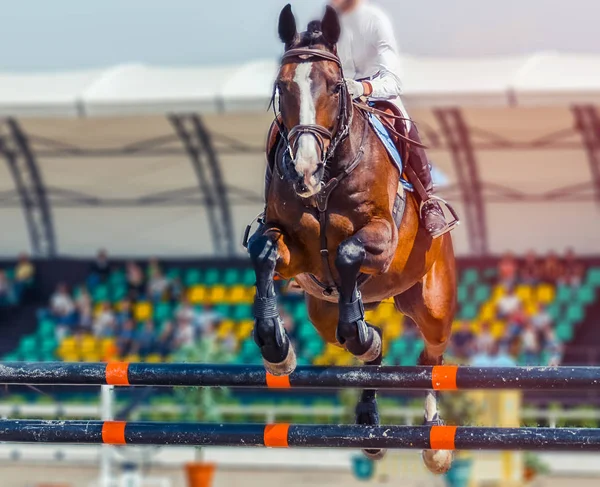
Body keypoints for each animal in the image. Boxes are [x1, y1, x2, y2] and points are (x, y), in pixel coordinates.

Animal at [246, 4, 458, 476]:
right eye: (282, 86)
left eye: (334, 86)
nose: (304, 169)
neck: (327, 180)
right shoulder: (297, 253)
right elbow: (266, 255)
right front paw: (276, 348)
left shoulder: (381, 238)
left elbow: (347, 252)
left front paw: (357, 326)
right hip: (321, 313)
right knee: (361, 352)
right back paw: (368, 414)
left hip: (432, 302)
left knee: (430, 360)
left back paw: (435, 443)